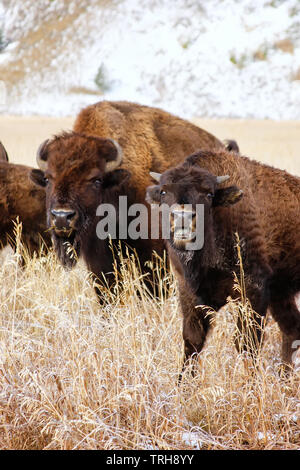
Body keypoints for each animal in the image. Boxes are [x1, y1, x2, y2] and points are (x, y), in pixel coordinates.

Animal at [146, 149, 300, 372]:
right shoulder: (190, 293)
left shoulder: (253, 290)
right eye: (164, 192)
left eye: (209, 194)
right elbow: (192, 341)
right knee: (292, 330)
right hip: (281, 294)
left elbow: (246, 343)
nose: (183, 217)